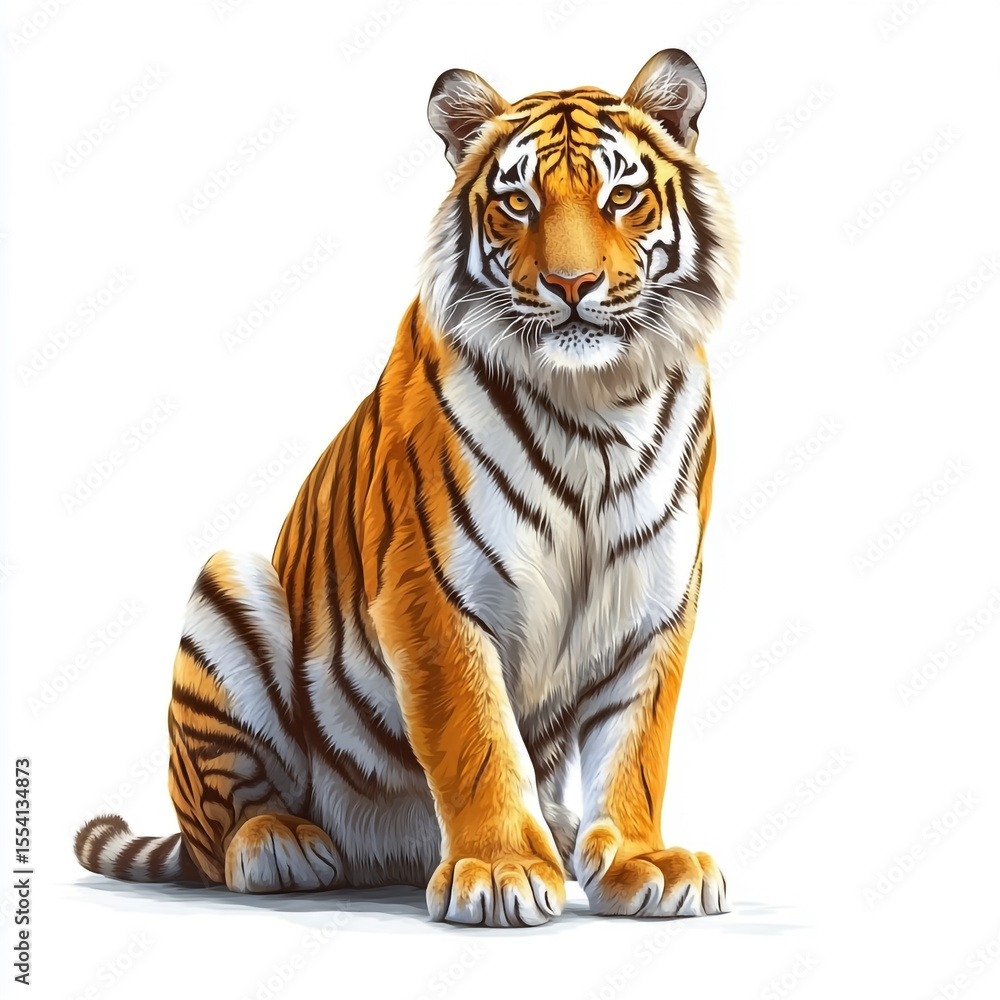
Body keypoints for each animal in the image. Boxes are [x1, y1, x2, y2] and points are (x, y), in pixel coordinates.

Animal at [74, 48, 738, 927]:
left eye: (620, 197)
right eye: (518, 202)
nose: (571, 284)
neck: (595, 401)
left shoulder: (657, 599)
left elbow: (638, 746)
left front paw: (645, 864)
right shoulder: (430, 590)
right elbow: (477, 740)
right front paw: (500, 871)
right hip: (229, 584)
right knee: (217, 836)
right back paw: (280, 845)